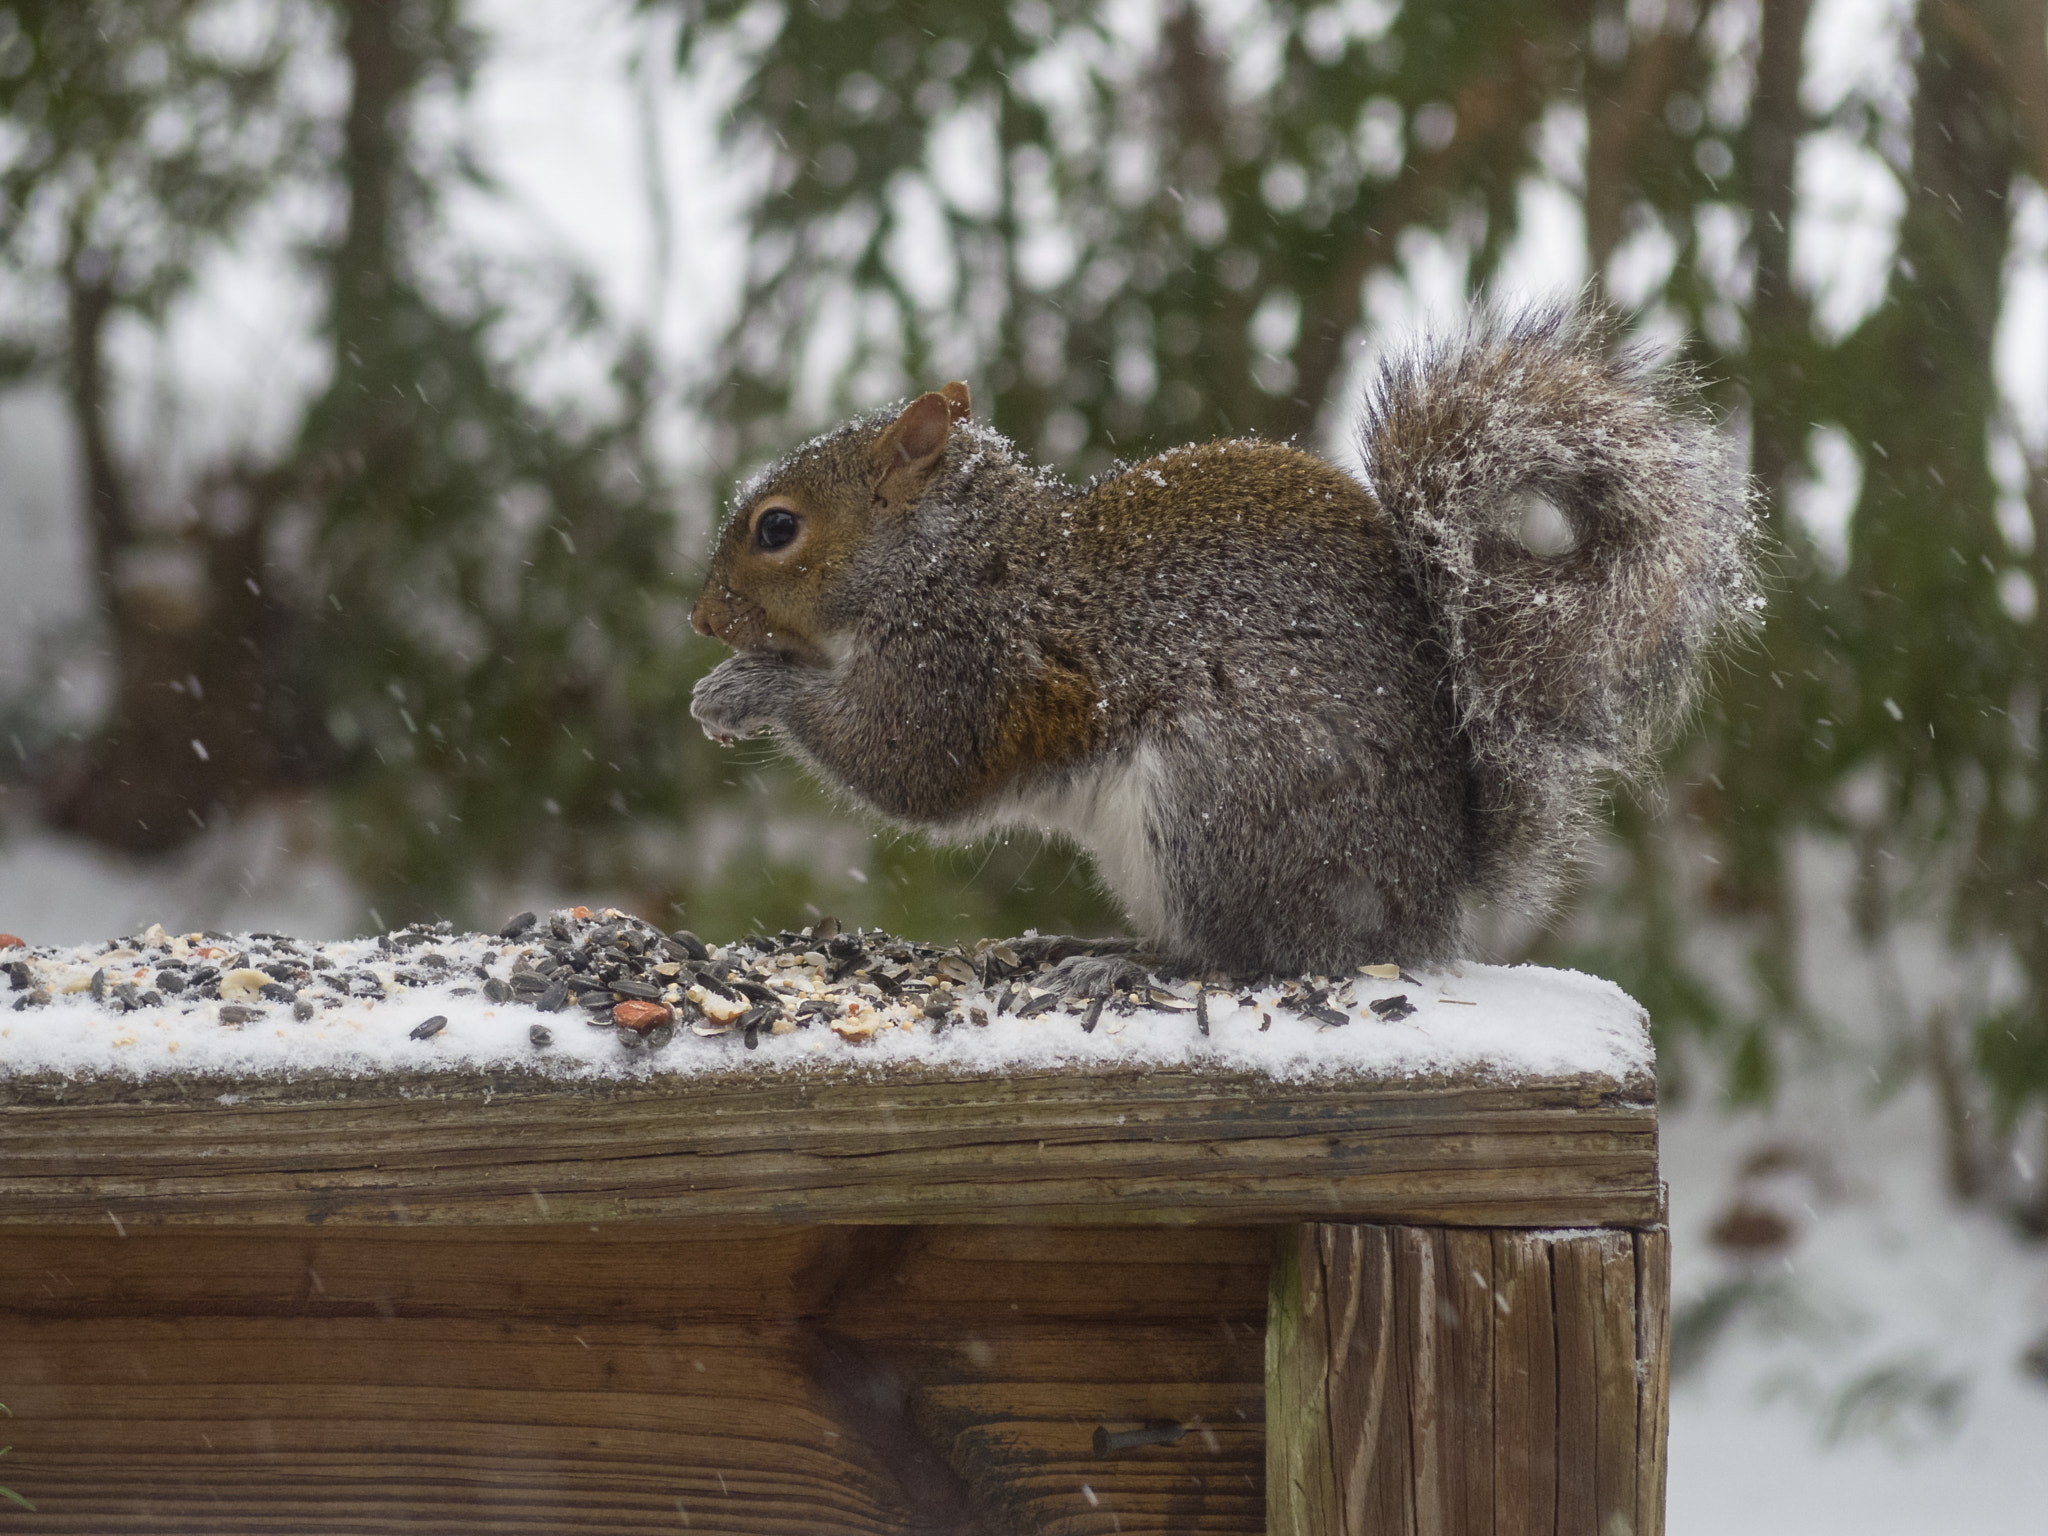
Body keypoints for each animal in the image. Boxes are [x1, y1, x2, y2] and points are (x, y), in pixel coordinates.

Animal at [692, 309, 1761, 978]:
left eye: (777, 529)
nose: (703, 620)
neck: (946, 559)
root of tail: (1425, 897)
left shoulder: (967, 664)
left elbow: (908, 765)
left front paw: (745, 689)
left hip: (1218, 800)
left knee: (1243, 959)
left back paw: (1119, 968)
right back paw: (1099, 950)